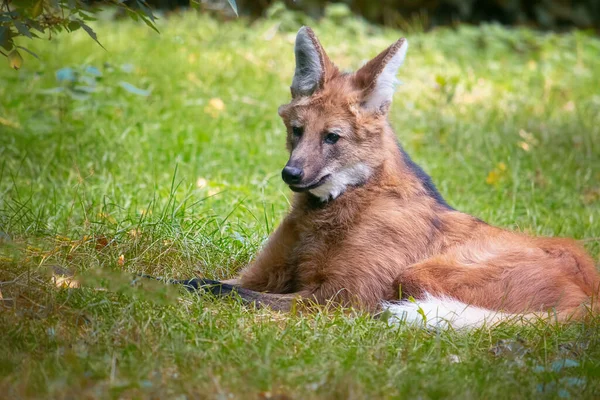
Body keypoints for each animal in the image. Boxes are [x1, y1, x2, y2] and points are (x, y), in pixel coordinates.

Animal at [179, 26, 600, 330]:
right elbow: (207, 282)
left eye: (332, 137)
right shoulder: (260, 275)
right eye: (298, 131)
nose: (291, 173)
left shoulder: (338, 300)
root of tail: (591, 291)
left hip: (418, 273)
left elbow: (210, 288)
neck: (334, 207)